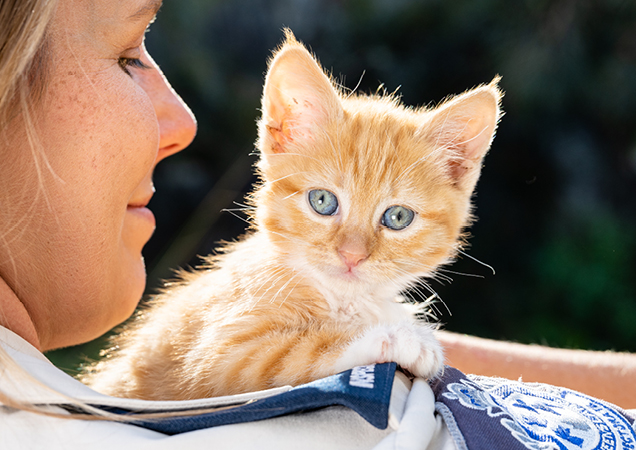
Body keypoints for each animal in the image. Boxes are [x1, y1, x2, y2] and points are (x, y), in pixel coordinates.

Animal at [83, 34, 502, 400]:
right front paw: (404, 338)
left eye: (398, 217)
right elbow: (298, 350)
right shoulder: (218, 358)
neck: (339, 298)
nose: (352, 255)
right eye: (323, 201)